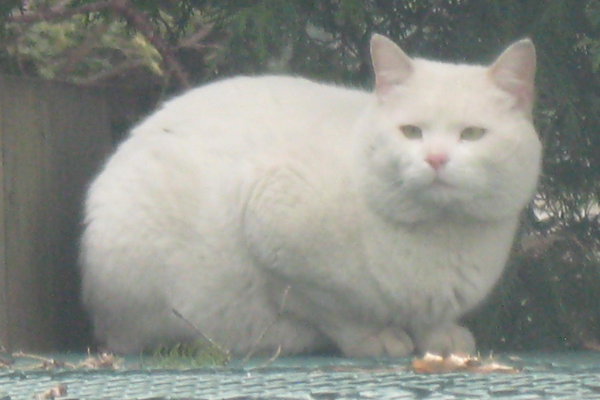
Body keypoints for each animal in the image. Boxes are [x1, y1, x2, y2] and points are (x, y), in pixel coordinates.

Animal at [78, 32, 540, 354]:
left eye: (472, 134)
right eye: (411, 131)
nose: (437, 158)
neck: (440, 239)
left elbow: (430, 319)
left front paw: (440, 337)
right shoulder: (275, 233)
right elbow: (336, 311)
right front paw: (375, 338)